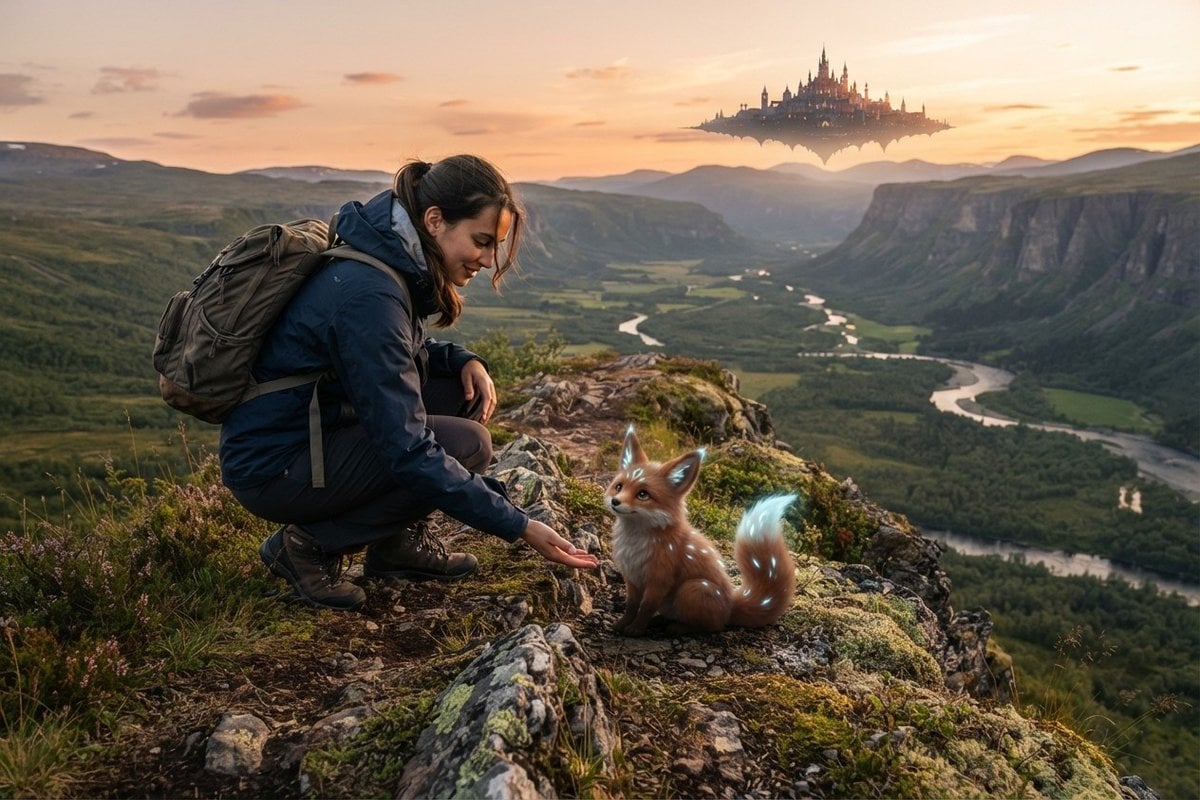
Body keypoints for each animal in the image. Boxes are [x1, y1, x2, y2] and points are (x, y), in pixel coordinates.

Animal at [604, 426, 798, 636]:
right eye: (619, 487)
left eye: (643, 494)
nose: (615, 501)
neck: (635, 544)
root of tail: (730, 606)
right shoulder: (631, 578)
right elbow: (631, 606)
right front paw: (621, 625)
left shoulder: (659, 580)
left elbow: (646, 607)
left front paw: (636, 629)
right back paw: (660, 621)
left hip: (692, 589)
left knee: (710, 627)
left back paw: (677, 627)